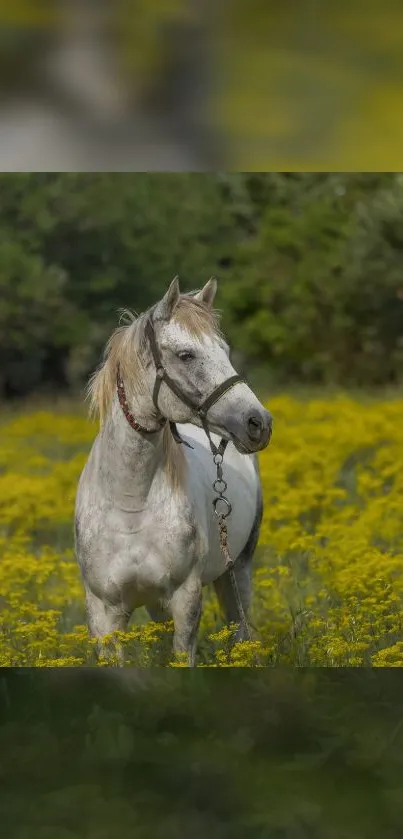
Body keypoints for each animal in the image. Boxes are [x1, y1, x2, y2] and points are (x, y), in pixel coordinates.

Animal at [75, 278, 274, 668]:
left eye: (225, 350)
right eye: (186, 355)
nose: (258, 423)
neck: (130, 504)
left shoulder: (185, 599)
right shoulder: (105, 613)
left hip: (237, 571)